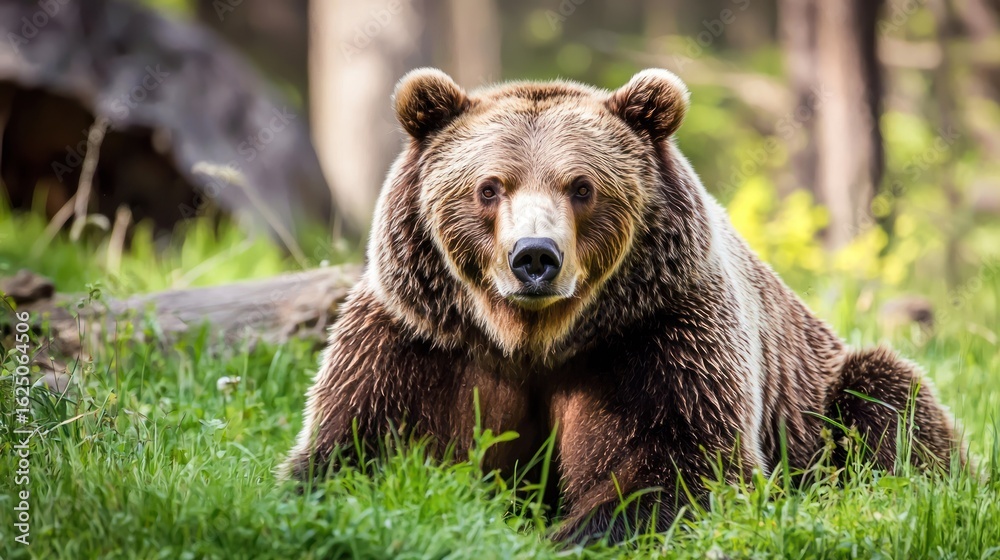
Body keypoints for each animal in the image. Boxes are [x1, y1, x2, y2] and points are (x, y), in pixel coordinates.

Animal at [280, 68, 963, 543]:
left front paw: (571, 534)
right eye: (489, 187)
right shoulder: (419, 340)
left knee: (889, 404)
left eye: (581, 187)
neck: (533, 339)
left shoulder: (657, 337)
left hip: (818, 392)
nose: (535, 256)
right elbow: (354, 451)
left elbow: (675, 469)